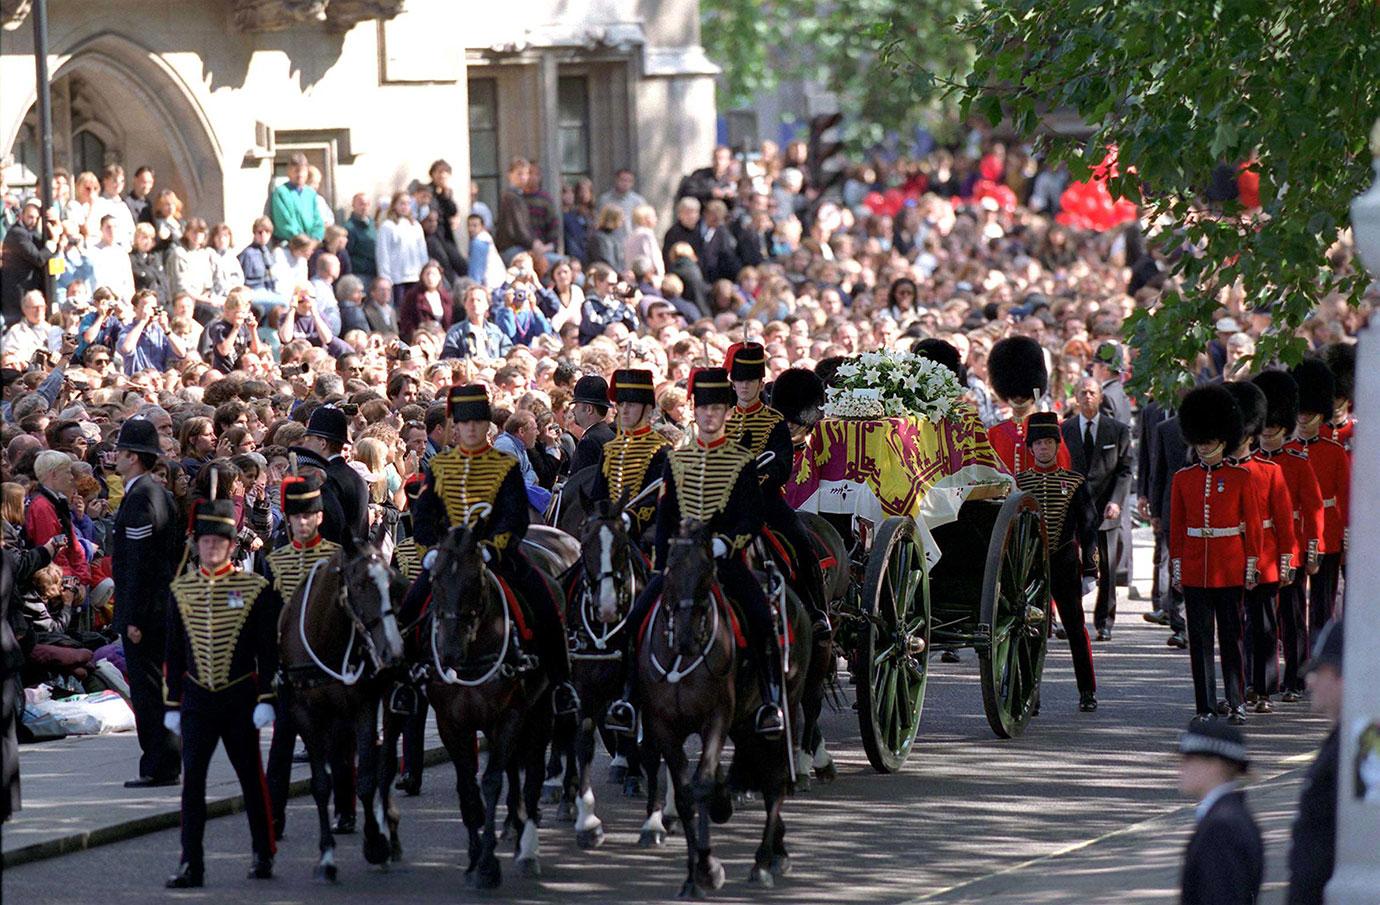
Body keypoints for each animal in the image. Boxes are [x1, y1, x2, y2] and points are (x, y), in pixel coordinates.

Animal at [276, 540, 405, 882]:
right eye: (359, 584)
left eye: (391, 582)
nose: (392, 650)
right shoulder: (306, 714)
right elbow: (321, 784)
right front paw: (326, 857)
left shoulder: (363, 706)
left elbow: (368, 780)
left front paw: (375, 843)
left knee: (386, 763)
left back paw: (390, 834)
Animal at [427, 518, 552, 888]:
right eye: (435, 577)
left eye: (476, 579)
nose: (450, 652)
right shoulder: (451, 723)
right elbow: (468, 785)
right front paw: (473, 857)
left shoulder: (510, 714)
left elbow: (492, 781)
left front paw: (487, 865)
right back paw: (515, 823)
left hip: (541, 710)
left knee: (533, 769)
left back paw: (528, 843)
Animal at [634, 518, 805, 893]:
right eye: (669, 570)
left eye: (707, 572)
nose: (685, 638)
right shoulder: (662, 725)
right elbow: (686, 793)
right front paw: (693, 874)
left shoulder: (716, 718)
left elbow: (702, 784)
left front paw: (708, 867)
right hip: (745, 721)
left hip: (781, 708)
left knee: (775, 780)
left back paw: (764, 860)